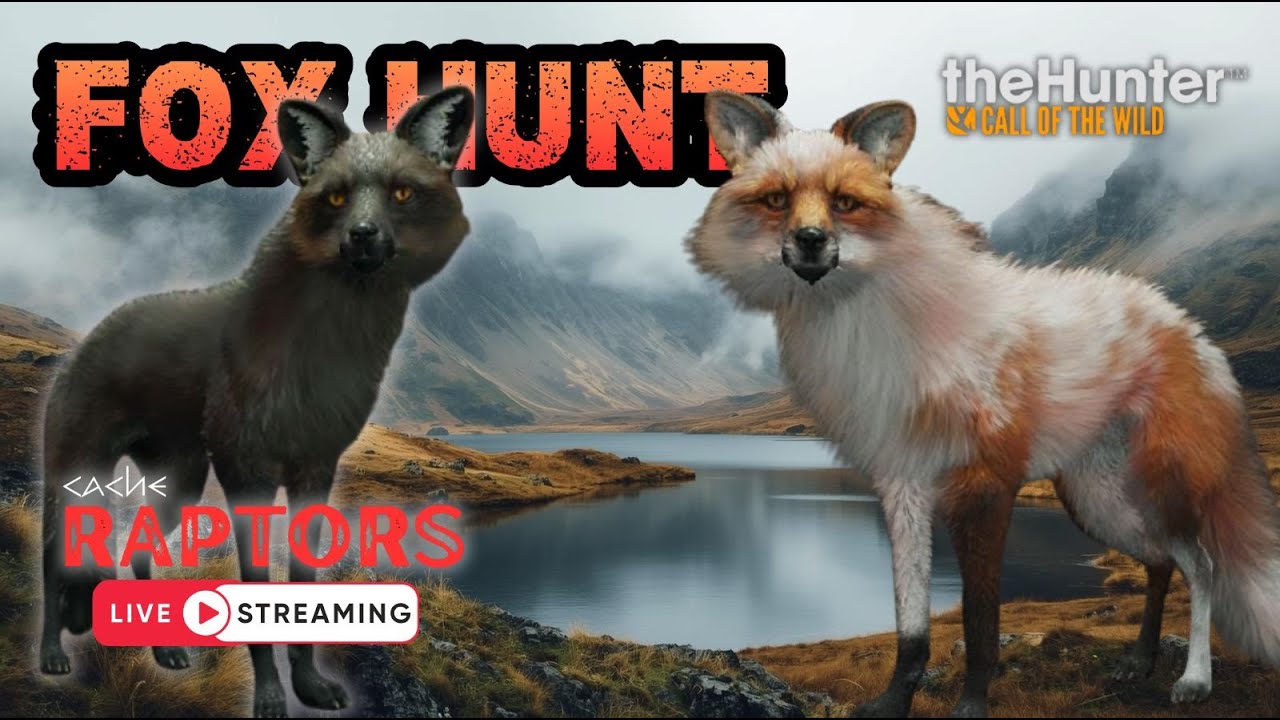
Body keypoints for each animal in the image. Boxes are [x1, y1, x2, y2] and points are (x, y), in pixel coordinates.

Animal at [38, 87, 474, 717]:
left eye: (402, 192)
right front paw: (270, 697)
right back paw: (51, 656)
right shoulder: (248, 475)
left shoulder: (315, 472)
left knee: (135, 554)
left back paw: (163, 652)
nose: (363, 235)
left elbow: (302, 590)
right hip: (76, 484)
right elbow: (256, 598)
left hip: (179, 487)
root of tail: (88, 339)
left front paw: (310, 686)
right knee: (54, 569)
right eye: (336, 196)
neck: (325, 346)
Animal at [686, 91, 1280, 717]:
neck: (881, 333)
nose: (810, 240)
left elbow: (979, 621)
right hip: (1097, 503)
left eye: (845, 203)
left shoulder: (985, 486)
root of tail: (1191, 329)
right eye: (777, 200)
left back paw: (1194, 680)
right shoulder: (903, 485)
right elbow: (911, 628)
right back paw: (1139, 661)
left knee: (1203, 566)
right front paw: (893, 703)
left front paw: (971, 704)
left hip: (1162, 488)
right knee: (1161, 563)